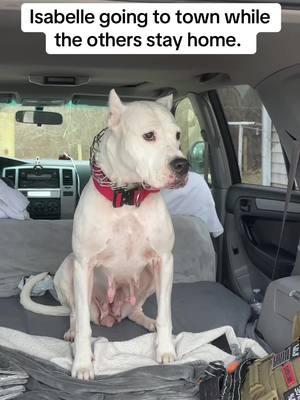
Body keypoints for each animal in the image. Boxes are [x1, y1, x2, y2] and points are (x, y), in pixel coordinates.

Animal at [21, 89, 189, 380]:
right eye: (149, 135)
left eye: (177, 135)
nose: (182, 165)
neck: (128, 198)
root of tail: (110, 315)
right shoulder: (84, 264)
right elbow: (84, 329)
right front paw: (82, 364)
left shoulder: (164, 261)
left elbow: (166, 315)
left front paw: (165, 348)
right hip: (69, 270)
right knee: (76, 314)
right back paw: (72, 331)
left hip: (148, 279)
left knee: (135, 311)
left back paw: (148, 321)